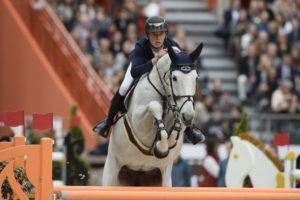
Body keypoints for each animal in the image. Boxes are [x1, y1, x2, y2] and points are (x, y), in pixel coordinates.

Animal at [102, 43, 203, 187]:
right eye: (174, 78)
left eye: (196, 78)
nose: (188, 116)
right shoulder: (139, 123)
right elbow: (155, 106)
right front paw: (161, 147)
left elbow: (173, 134)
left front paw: (164, 143)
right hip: (111, 170)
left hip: (162, 179)